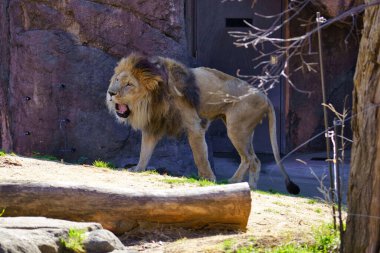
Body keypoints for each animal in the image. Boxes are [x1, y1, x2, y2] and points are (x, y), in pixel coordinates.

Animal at [106, 52, 300, 194]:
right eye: (116, 80)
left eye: (129, 84)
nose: (110, 93)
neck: (152, 99)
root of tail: (264, 97)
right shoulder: (154, 124)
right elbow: (144, 152)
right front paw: (137, 169)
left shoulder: (194, 124)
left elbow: (200, 154)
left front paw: (207, 178)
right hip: (244, 130)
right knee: (256, 160)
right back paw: (250, 186)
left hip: (236, 128)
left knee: (249, 158)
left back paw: (233, 182)